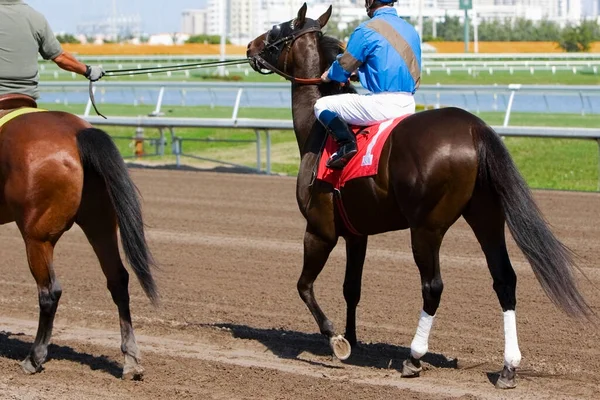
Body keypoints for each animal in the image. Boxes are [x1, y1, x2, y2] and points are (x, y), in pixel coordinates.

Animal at [0, 94, 158, 378]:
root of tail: (77, 132)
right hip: (100, 225)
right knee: (118, 280)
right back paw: (130, 359)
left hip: (37, 238)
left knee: (49, 291)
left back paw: (34, 358)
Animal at [247, 3, 592, 390]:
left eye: (276, 31)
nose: (250, 47)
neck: (317, 132)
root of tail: (474, 129)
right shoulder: (357, 234)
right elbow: (352, 287)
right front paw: (353, 339)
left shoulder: (320, 231)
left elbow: (304, 286)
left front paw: (336, 339)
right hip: (486, 217)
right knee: (504, 279)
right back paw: (508, 367)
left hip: (426, 228)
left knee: (433, 286)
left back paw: (414, 356)